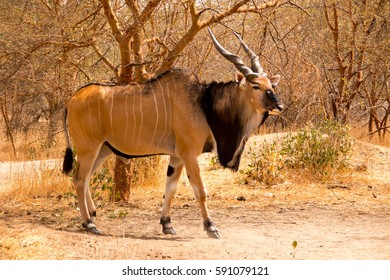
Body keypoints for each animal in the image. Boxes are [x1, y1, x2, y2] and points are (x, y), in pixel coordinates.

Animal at [63, 27, 284, 238]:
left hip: (103, 149)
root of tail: (71, 100)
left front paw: (167, 225)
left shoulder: (177, 157)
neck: (203, 103)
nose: (279, 105)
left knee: (83, 178)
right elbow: (200, 191)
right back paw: (89, 223)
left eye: (271, 85)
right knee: (80, 179)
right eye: (256, 86)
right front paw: (211, 227)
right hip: (88, 148)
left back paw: (92, 215)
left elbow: (171, 188)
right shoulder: (189, 155)